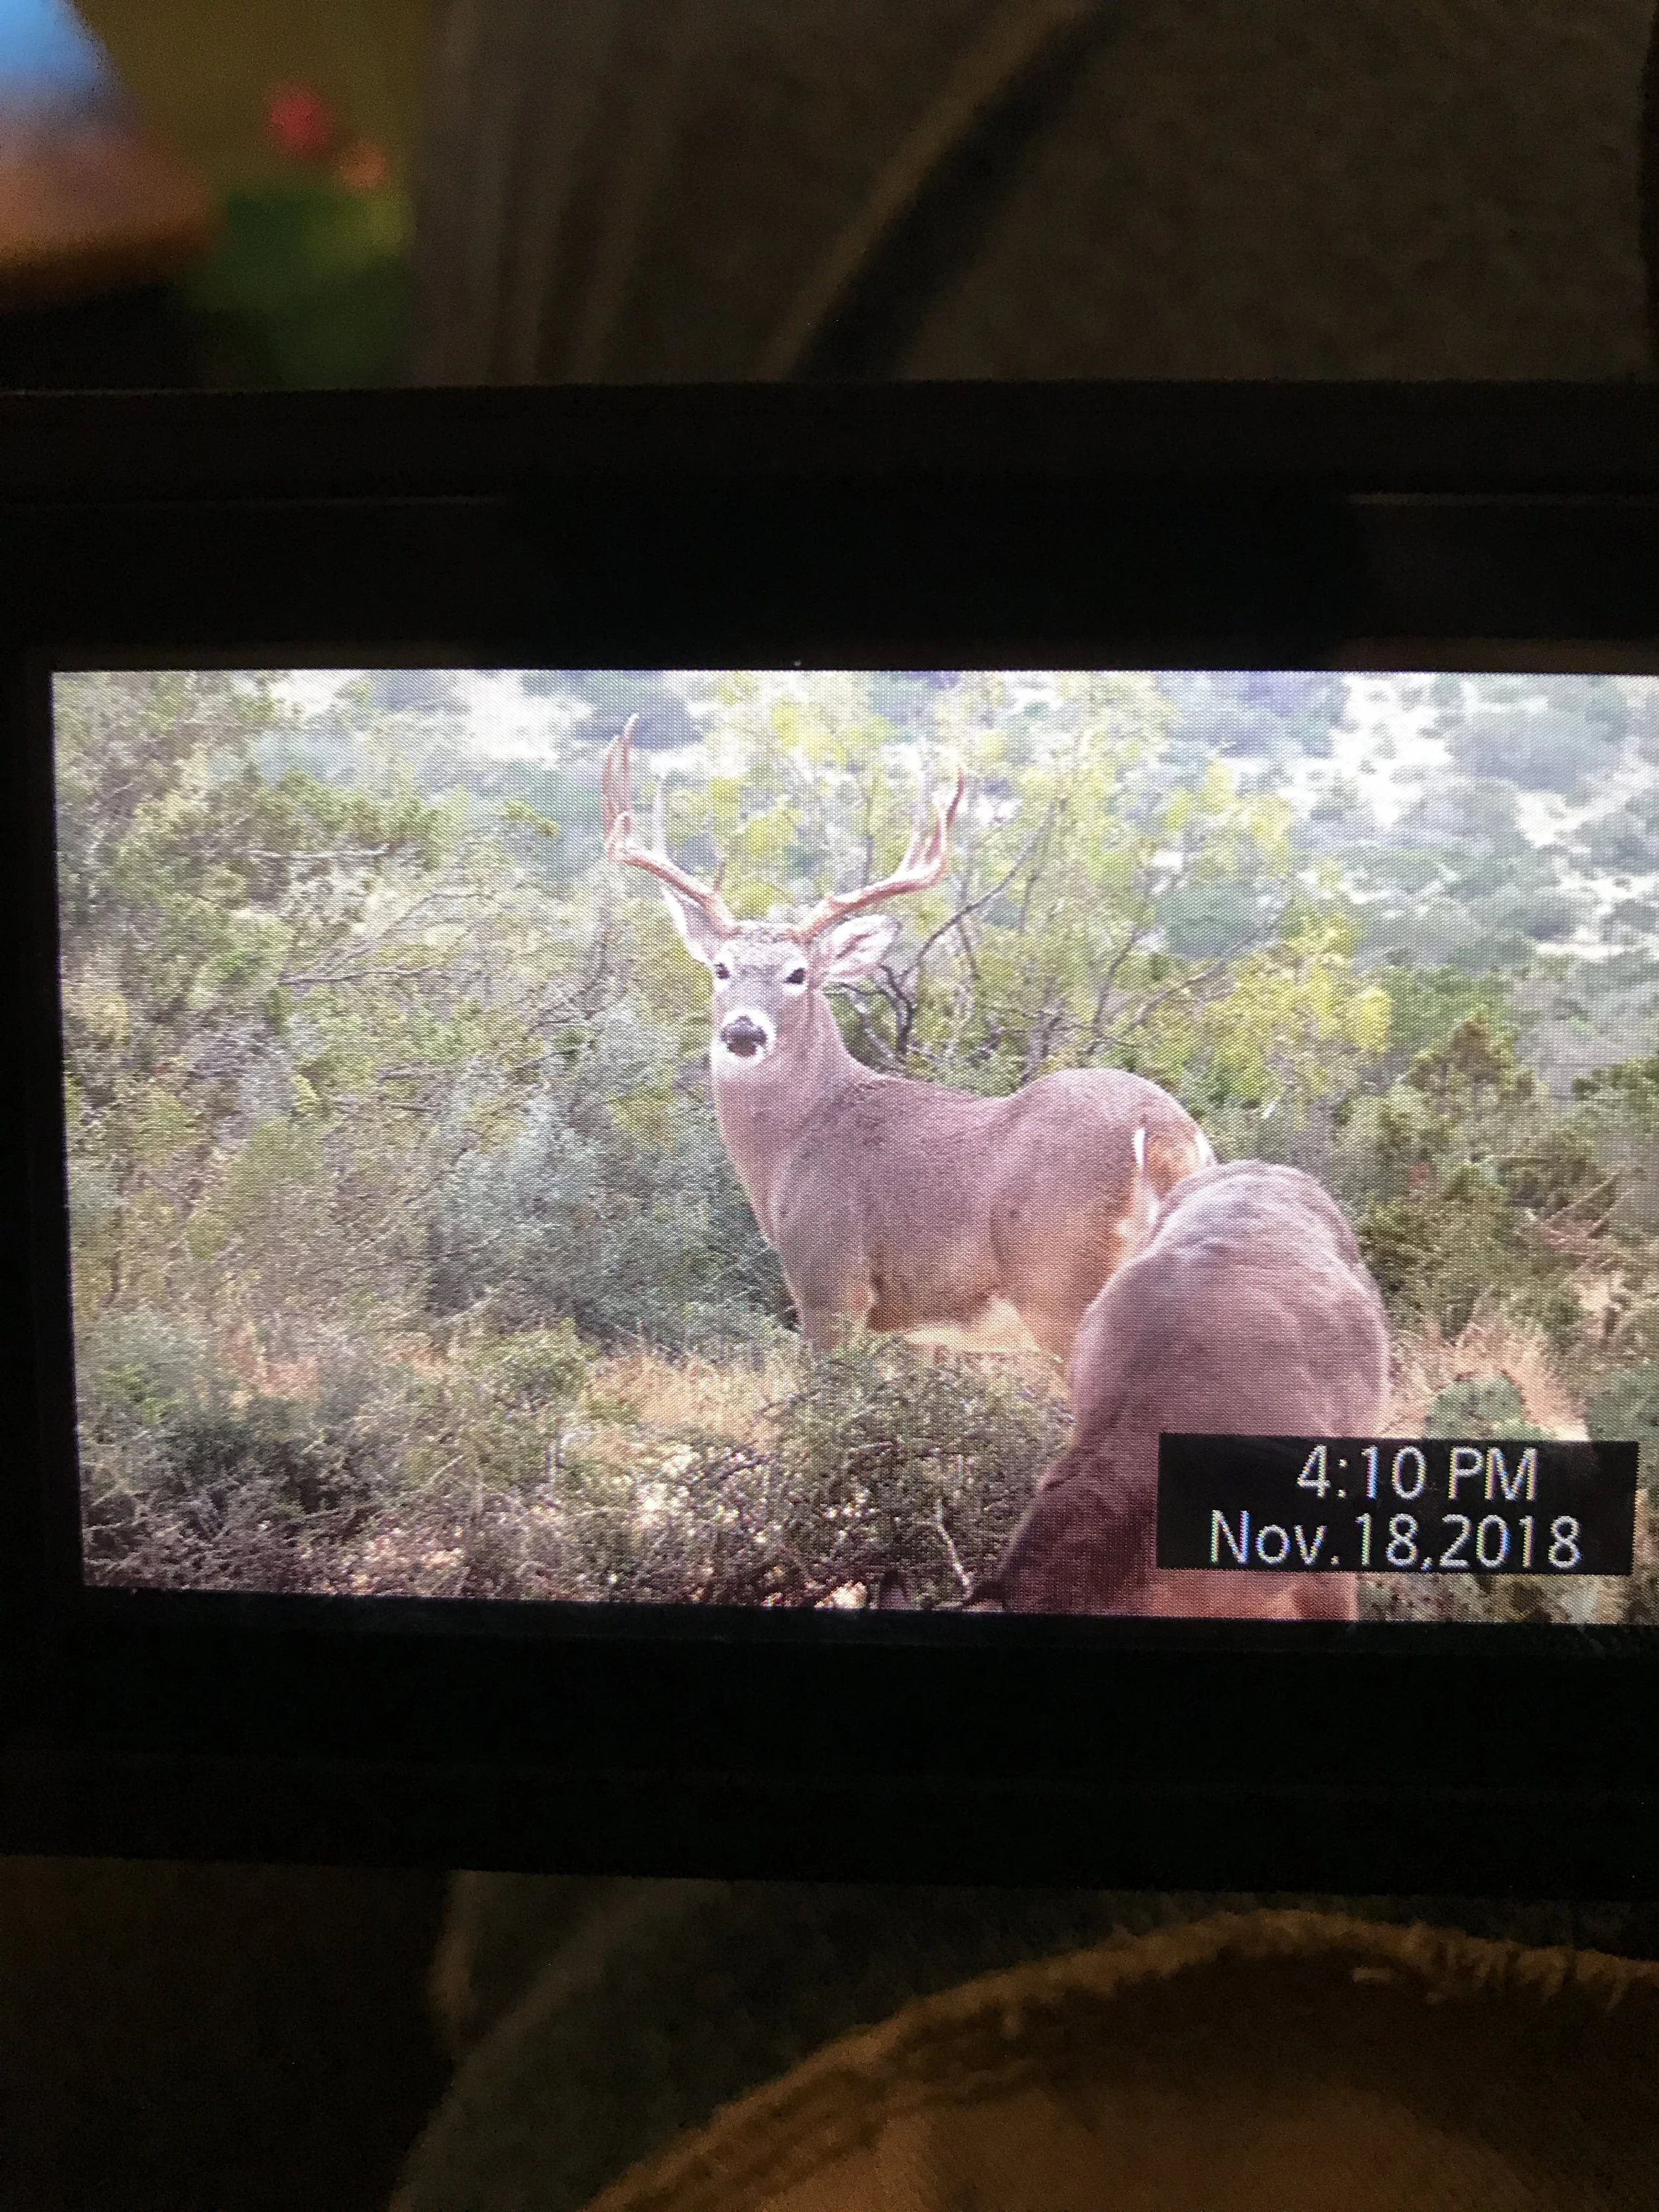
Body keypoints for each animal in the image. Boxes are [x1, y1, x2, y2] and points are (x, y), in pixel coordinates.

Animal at [601, 720, 1213, 1360]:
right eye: (721, 968)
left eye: (799, 974)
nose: (743, 1030)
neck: (797, 1141)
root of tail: (1164, 1135)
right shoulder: (914, 1327)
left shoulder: (828, 1279)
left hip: (1059, 1284)